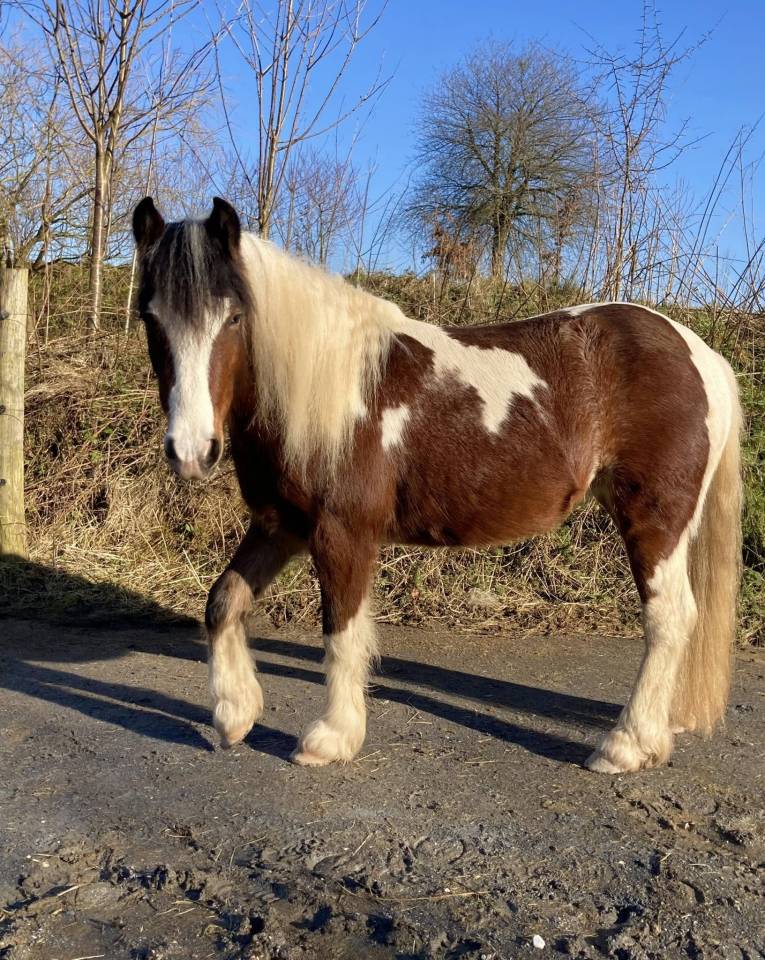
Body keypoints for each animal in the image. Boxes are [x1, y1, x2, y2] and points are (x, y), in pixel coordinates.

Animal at [132, 196, 742, 775]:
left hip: (654, 519)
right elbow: (223, 602)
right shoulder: (280, 526)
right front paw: (235, 714)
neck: (326, 391)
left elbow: (341, 630)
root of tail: (700, 353)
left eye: (234, 317)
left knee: (669, 618)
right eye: (150, 319)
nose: (192, 451)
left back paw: (625, 746)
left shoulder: (342, 533)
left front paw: (332, 738)